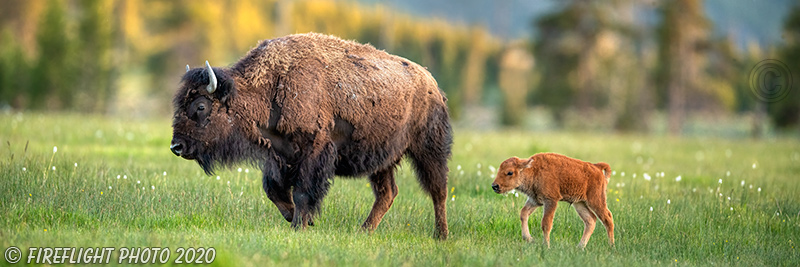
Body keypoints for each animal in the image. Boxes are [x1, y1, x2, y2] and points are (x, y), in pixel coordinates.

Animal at [170, 32, 454, 240]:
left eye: (201, 106)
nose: (176, 146)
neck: (271, 85)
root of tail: (431, 83)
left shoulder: (312, 151)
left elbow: (302, 192)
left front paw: (300, 225)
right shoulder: (278, 155)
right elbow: (274, 191)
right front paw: (299, 219)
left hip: (428, 148)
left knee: (438, 189)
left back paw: (441, 235)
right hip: (382, 158)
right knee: (387, 193)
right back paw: (364, 231)